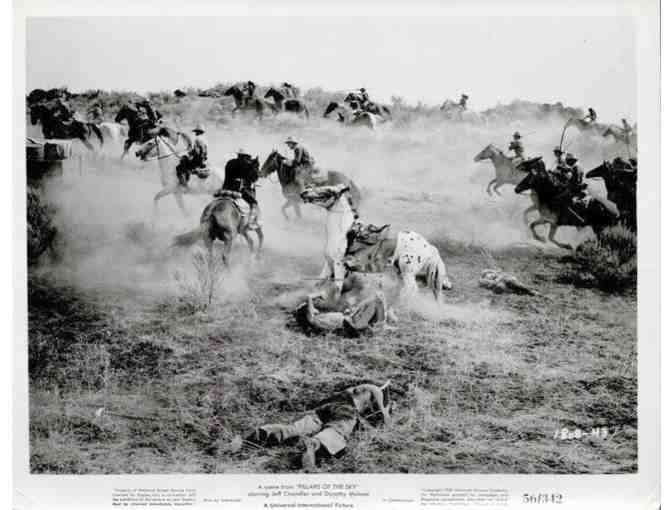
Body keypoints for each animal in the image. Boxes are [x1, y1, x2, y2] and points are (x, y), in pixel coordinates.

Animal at [300, 183, 452, 302]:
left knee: (411, 291)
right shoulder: (329, 264)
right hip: (401, 271)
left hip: (407, 272)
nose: (304, 192)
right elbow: (318, 283)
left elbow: (337, 288)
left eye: (329, 190)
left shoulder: (339, 265)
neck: (342, 233)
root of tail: (429, 246)